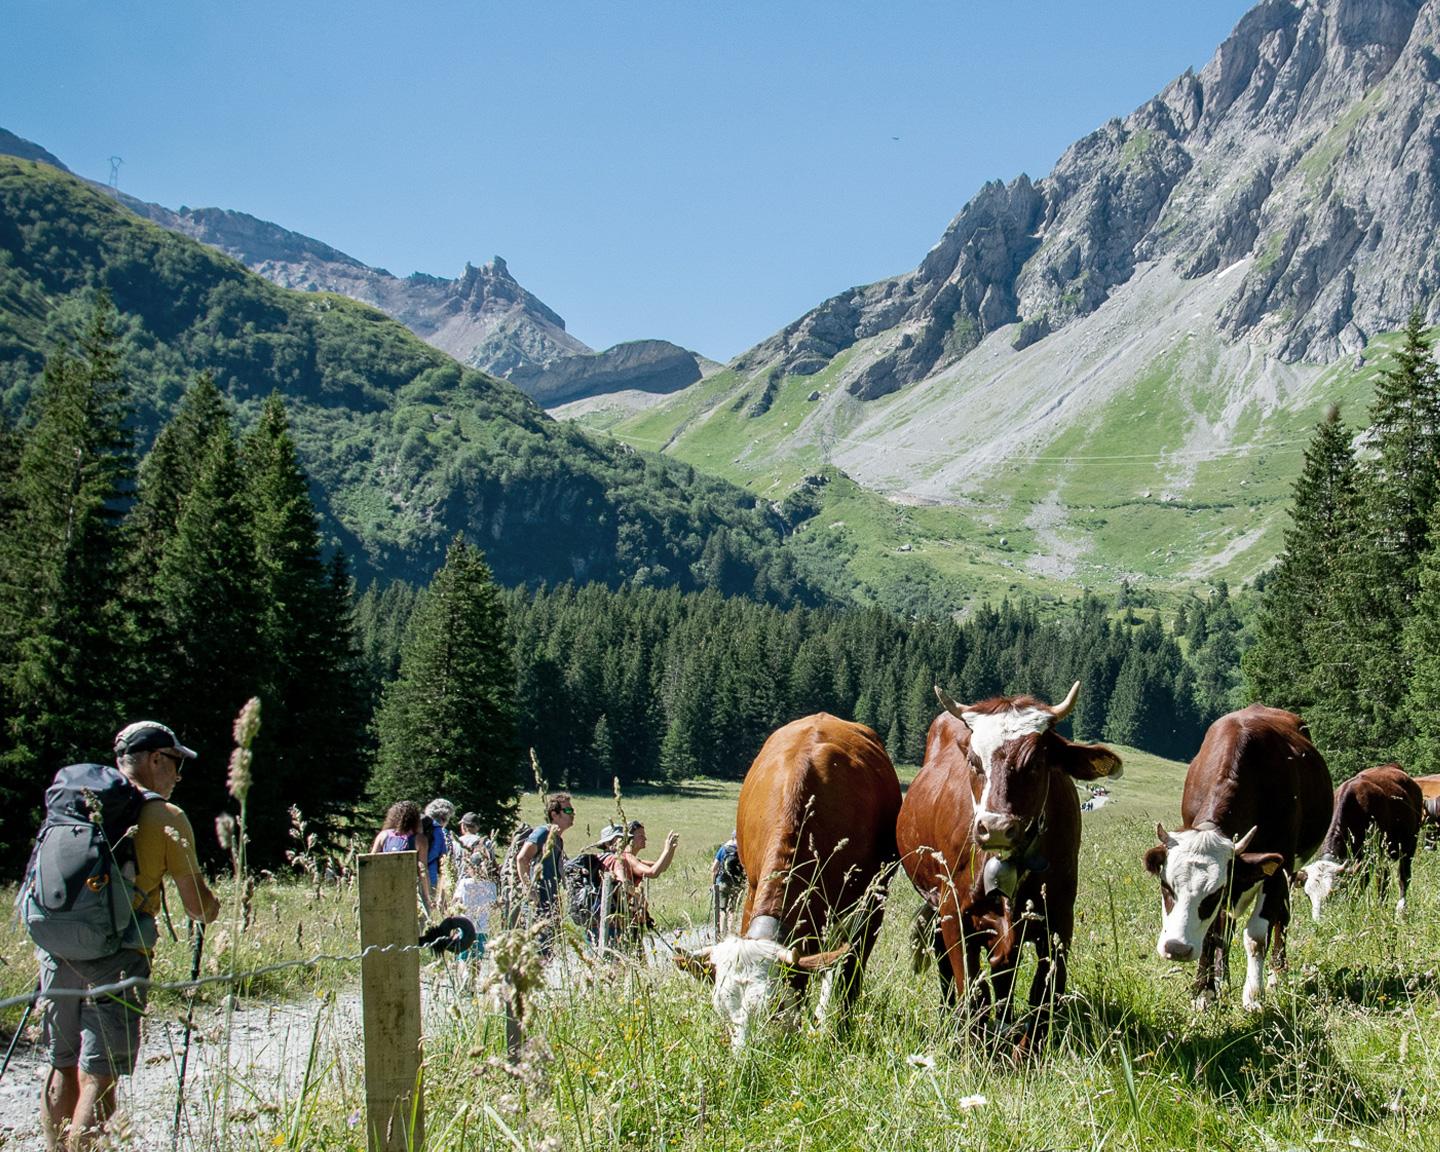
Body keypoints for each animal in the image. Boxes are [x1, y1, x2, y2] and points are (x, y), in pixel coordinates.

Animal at [673, 714, 898, 1048]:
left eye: (775, 1006)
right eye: (721, 1008)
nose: (745, 1057)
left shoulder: (866, 901)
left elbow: (845, 968)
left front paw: (835, 1028)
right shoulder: (752, 887)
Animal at [898, 685, 1123, 1054]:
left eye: (1036, 762)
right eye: (974, 762)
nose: (996, 828)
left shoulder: (1059, 917)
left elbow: (1044, 991)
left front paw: (1026, 1052)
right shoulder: (954, 911)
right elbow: (972, 990)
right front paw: (974, 1050)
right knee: (946, 959)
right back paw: (950, 1019)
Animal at [1140, 705, 1330, 1013]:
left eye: (1213, 894)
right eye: (1166, 887)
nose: (1177, 948)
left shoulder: (1277, 869)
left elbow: (1256, 936)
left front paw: (1253, 995)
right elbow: (1213, 933)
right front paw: (1204, 991)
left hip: (1289, 874)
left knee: (1282, 920)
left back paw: (1278, 973)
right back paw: (1222, 976)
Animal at [1296, 760, 1416, 921]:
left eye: (1331, 894)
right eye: (1307, 895)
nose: (1318, 921)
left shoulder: (1369, 860)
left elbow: (1358, 888)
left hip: (1407, 847)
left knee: (1400, 877)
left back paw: (1399, 909)